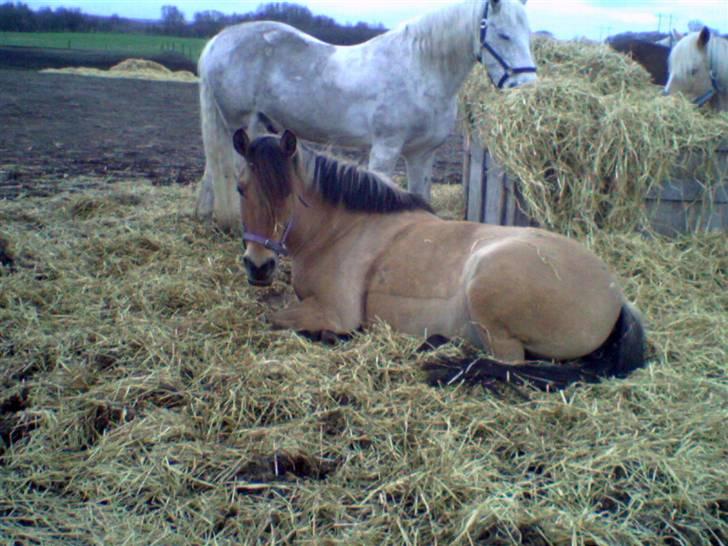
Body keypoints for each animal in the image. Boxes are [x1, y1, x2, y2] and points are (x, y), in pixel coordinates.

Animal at [193, 0, 536, 230]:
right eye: (503, 35)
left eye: (528, 33)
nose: (525, 88)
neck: (419, 69)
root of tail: (218, 41)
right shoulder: (386, 148)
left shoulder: (422, 153)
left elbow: (421, 193)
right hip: (242, 122)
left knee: (214, 168)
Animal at [230, 129, 644, 388]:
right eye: (240, 188)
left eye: (287, 193)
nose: (258, 265)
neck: (343, 229)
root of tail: (617, 297)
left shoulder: (335, 312)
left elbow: (273, 317)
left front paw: (328, 335)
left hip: (489, 295)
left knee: (510, 365)